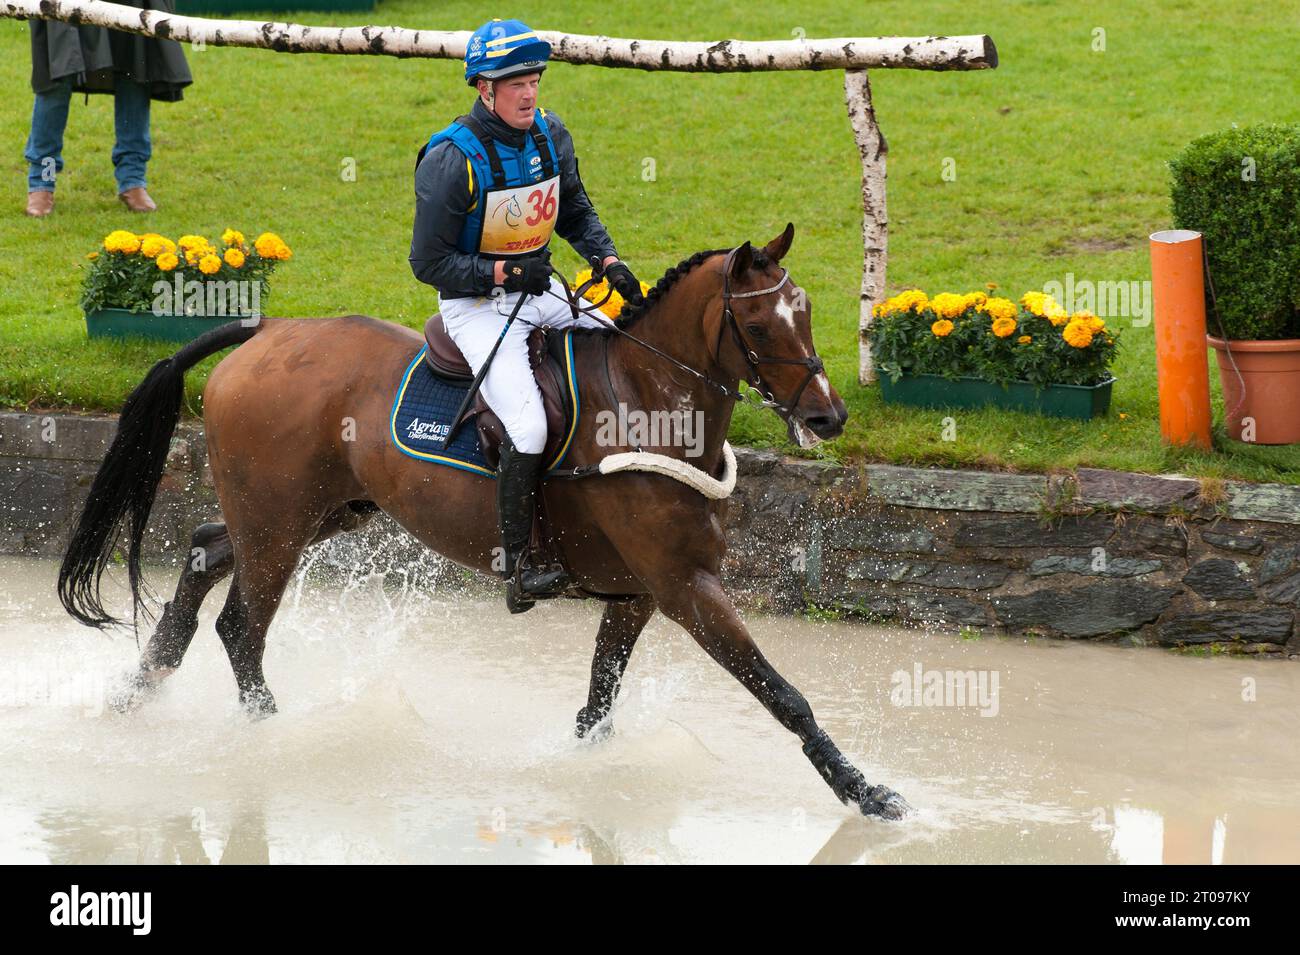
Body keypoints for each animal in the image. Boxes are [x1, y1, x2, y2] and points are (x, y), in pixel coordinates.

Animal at [58, 226, 915, 821]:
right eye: (763, 328)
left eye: (807, 314)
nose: (829, 417)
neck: (649, 402)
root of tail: (269, 331)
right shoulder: (685, 588)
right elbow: (783, 693)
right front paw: (866, 791)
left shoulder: (637, 594)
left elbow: (598, 704)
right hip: (278, 528)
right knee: (241, 626)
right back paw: (267, 736)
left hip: (313, 514)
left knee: (206, 553)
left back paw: (139, 685)